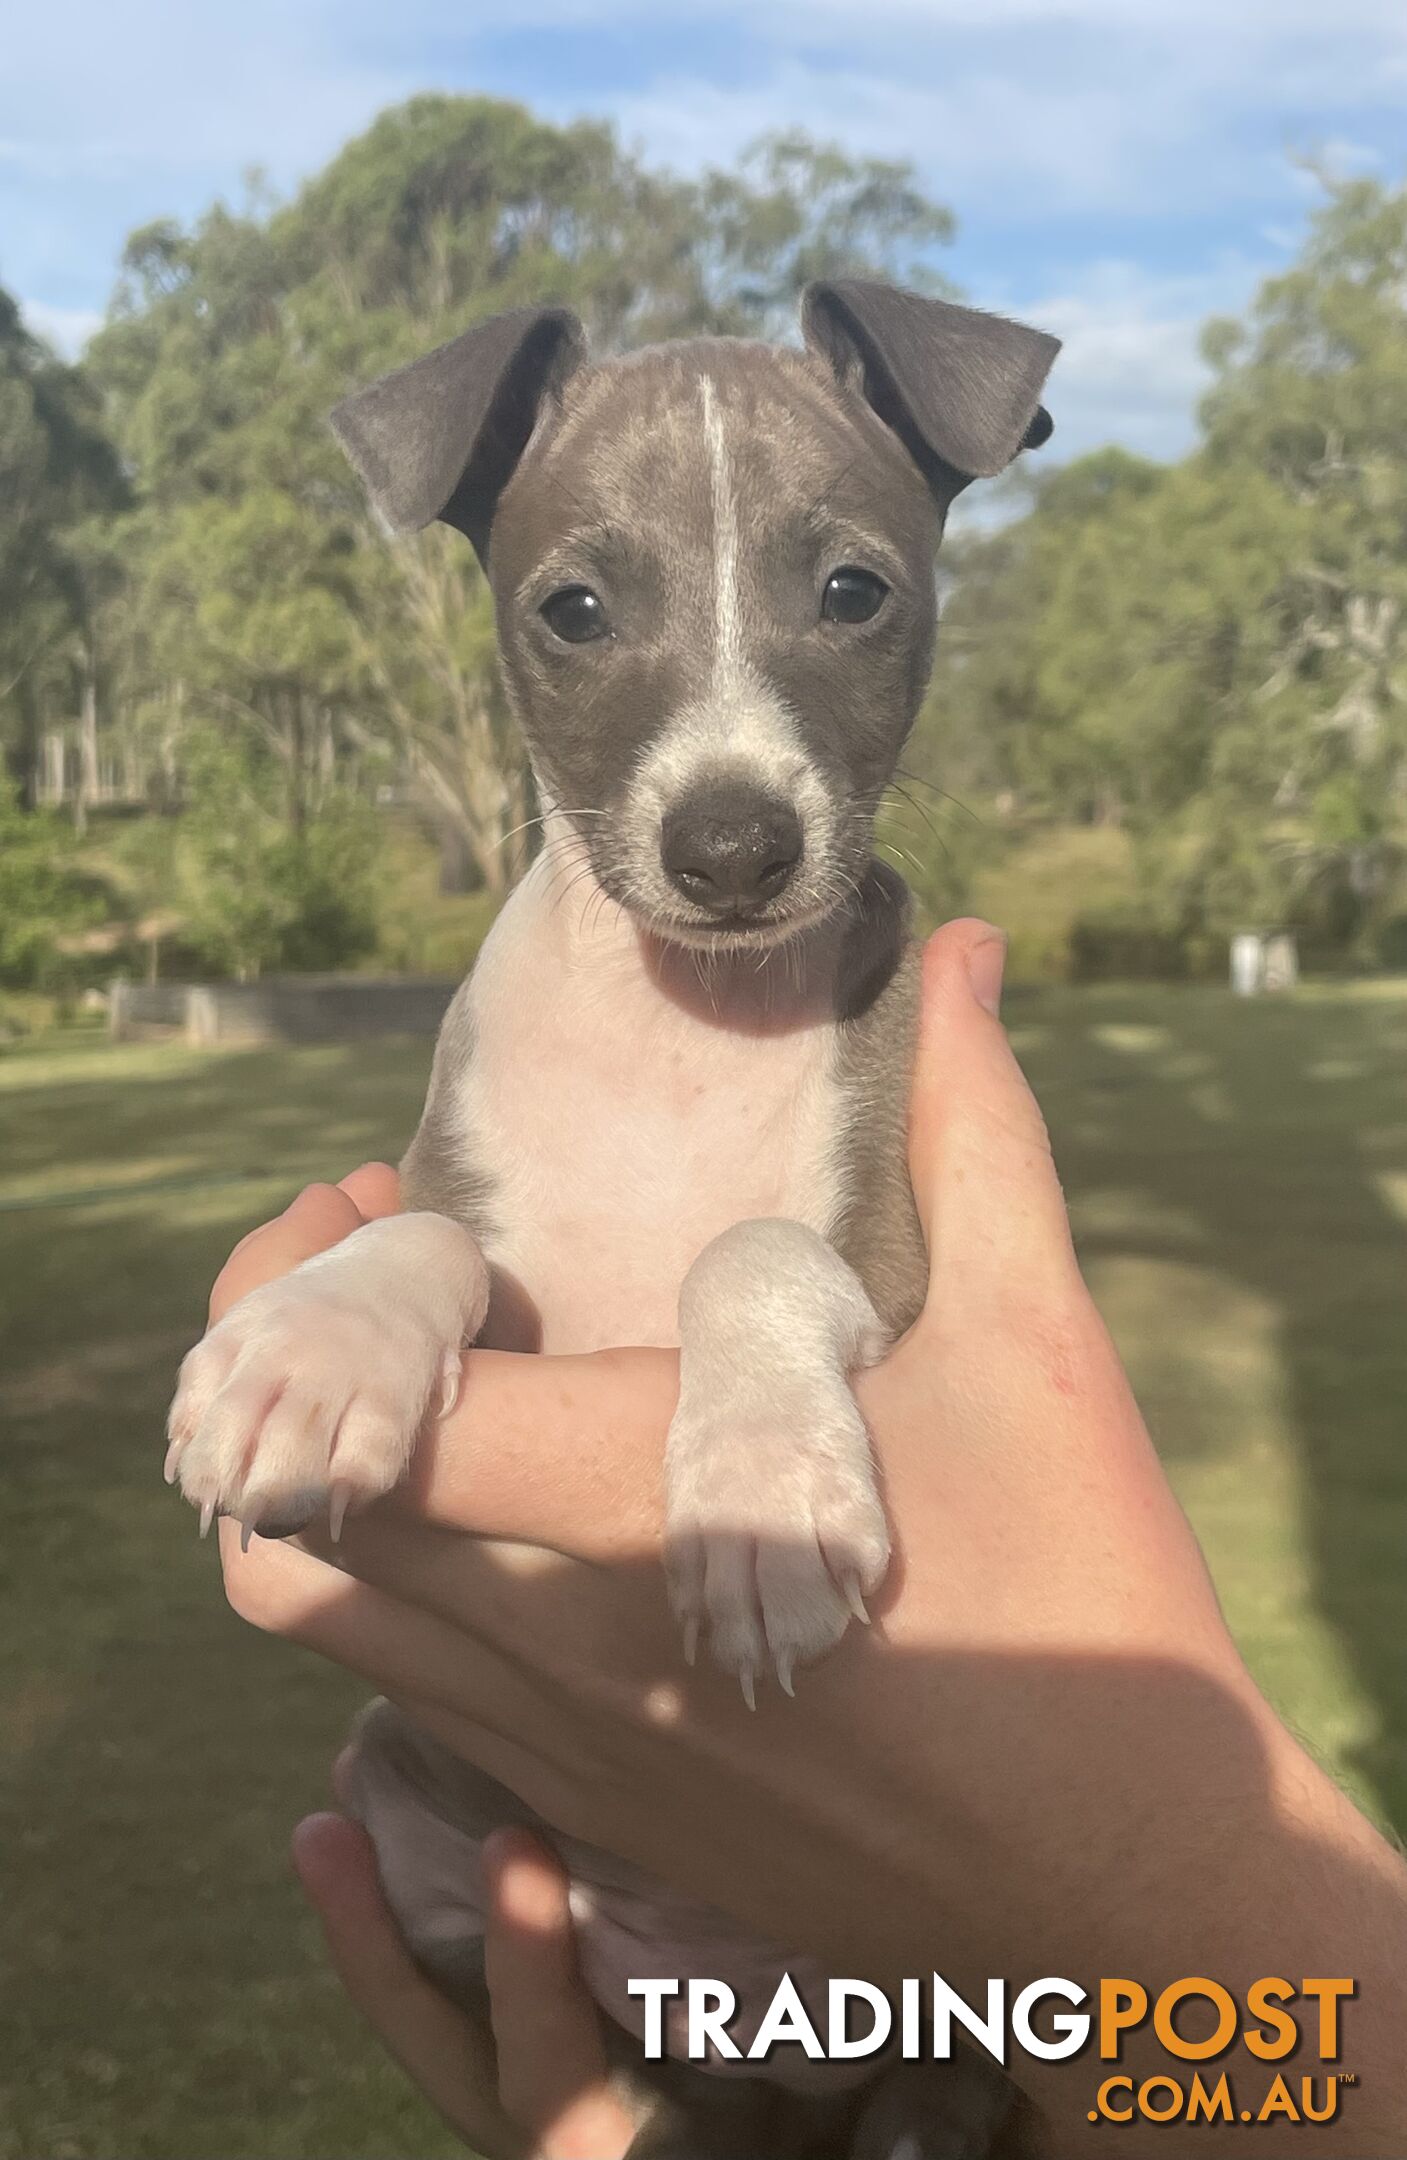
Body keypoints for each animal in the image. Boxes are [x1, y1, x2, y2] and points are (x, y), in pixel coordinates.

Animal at [167, 287, 1054, 2160]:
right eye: (572, 609)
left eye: (851, 589)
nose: (730, 844)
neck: (677, 1033)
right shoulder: (482, 1227)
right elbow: (426, 1240)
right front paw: (310, 1351)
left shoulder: (890, 1258)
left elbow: (749, 1247)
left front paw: (756, 1491)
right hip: (403, 1796)